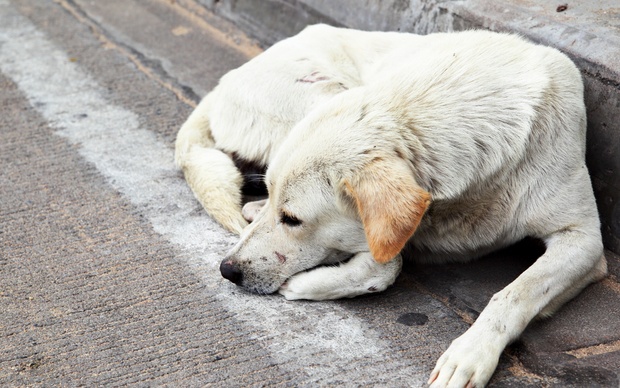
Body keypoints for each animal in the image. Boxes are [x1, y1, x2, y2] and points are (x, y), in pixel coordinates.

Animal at [173, 25, 604, 388]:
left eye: (293, 219)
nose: (227, 270)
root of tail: (223, 83)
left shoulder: (585, 241)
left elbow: (515, 293)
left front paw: (470, 353)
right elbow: (388, 264)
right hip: (318, 93)